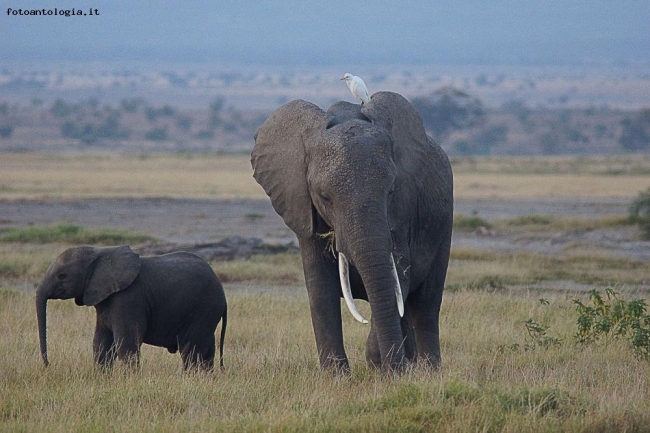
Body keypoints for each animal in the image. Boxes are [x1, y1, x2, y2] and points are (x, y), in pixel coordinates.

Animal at [36, 245, 228, 370]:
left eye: (62, 276)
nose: (49, 365)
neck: (100, 252)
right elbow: (100, 342)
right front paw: (102, 378)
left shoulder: (128, 298)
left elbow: (126, 344)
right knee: (207, 350)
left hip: (204, 309)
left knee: (190, 350)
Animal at [251, 90, 454, 372]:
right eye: (324, 197)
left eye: (391, 191)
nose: (392, 368)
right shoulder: (303, 210)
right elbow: (320, 289)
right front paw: (336, 375)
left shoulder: (402, 214)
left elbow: (398, 278)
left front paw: (383, 365)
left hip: (443, 224)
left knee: (426, 303)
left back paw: (428, 371)